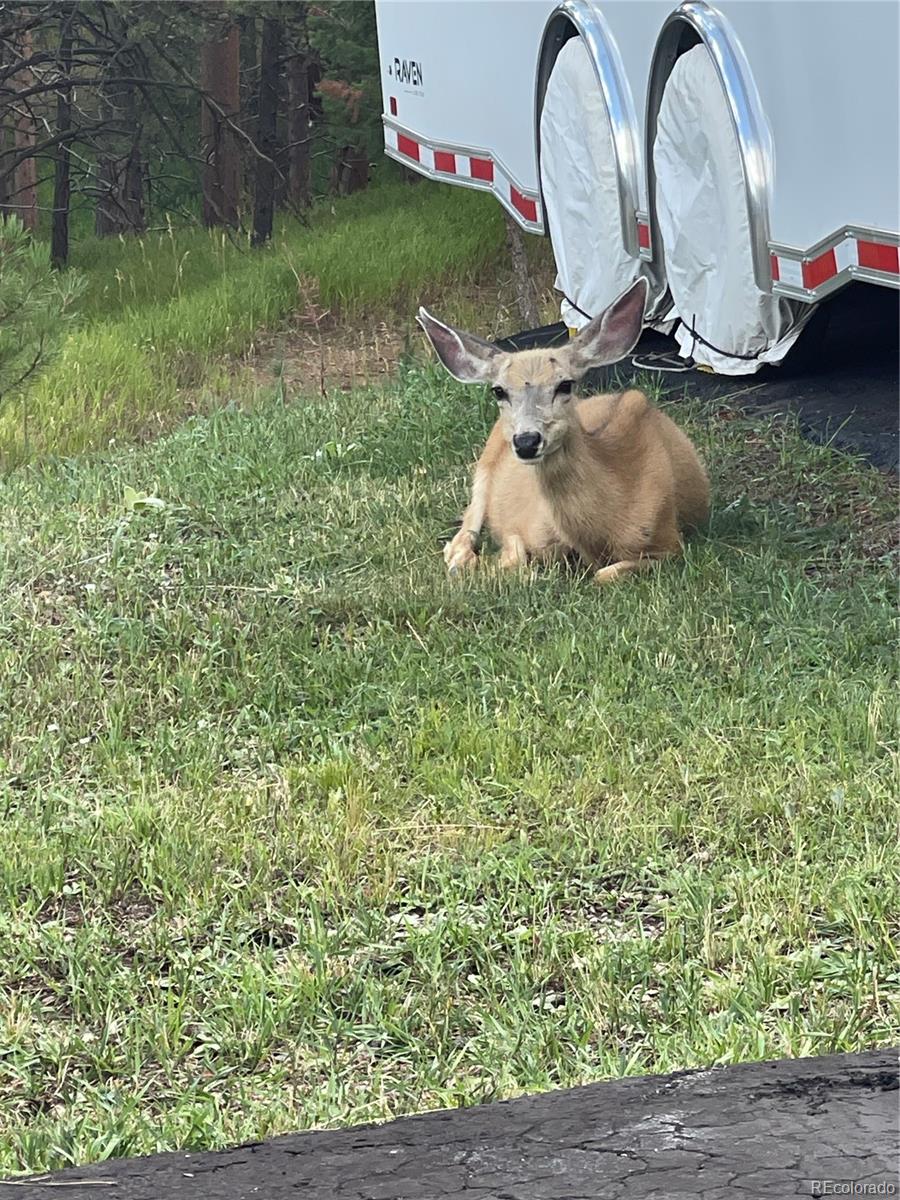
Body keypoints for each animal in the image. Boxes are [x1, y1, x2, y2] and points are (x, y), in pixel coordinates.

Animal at [422, 277, 710, 585]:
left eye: (565, 385)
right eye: (498, 391)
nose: (527, 441)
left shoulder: (669, 541)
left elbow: (604, 574)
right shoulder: (524, 525)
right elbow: (517, 557)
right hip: (484, 465)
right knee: (466, 525)